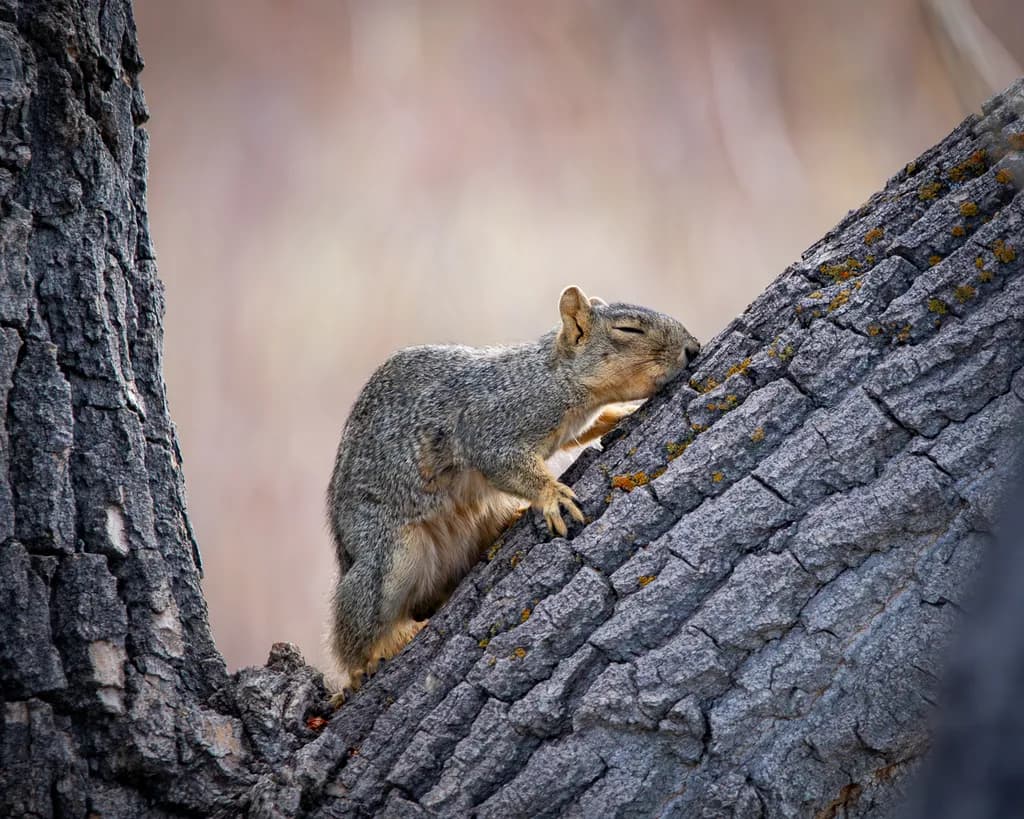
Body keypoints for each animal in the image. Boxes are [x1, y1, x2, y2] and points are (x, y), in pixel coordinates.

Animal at [325, 286, 700, 699]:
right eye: (628, 329)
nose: (693, 348)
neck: (558, 377)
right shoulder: (495, 427)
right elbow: (508, 465)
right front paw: (553, 495)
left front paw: (621, 413)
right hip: (390, 555)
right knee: (356, 624)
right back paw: (362, 664)